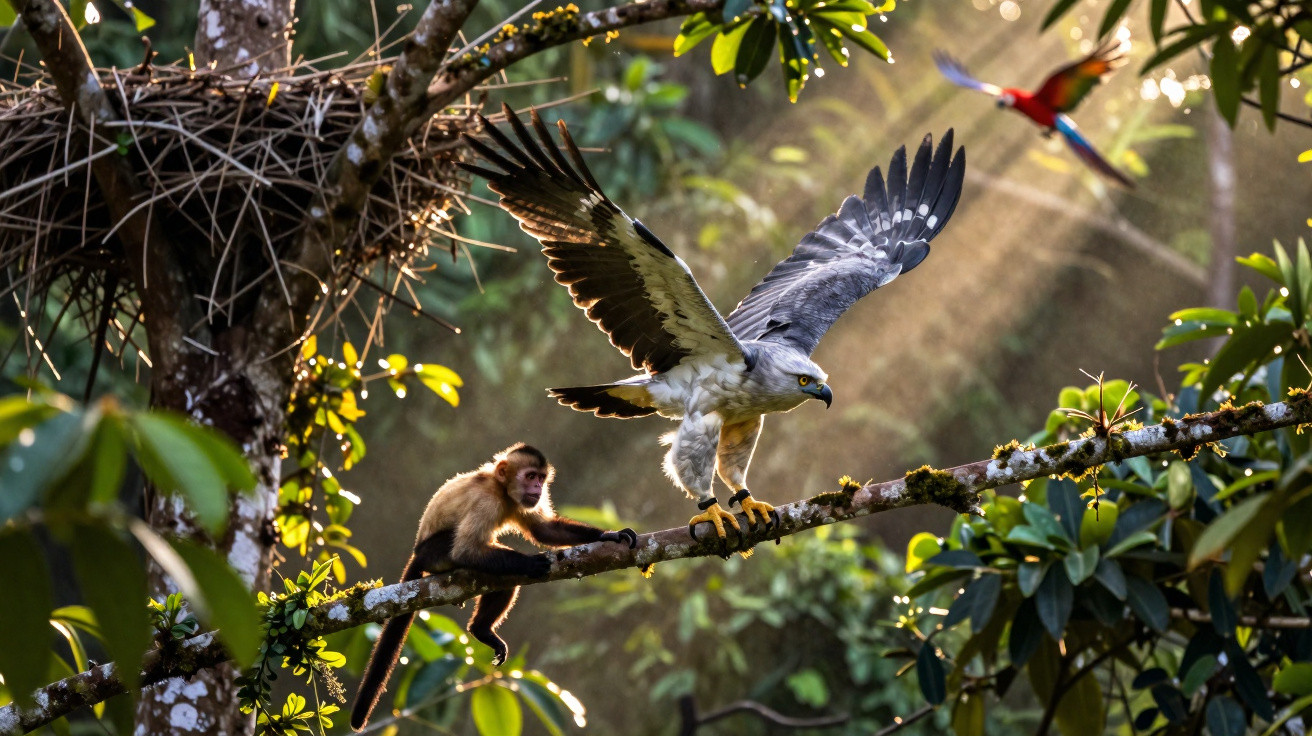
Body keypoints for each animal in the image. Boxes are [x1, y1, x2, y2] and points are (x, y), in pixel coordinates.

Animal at [350, 443, 637, 731]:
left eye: (541, 478)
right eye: (530, 476)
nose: (538, 487)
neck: (501, 490)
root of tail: (418, 552)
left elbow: (545, 531)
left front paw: (609, 535)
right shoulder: (486, 501)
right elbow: (466, 551)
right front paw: (531, 562)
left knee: (504, 582)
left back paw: (480, 629)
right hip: (434, 554)